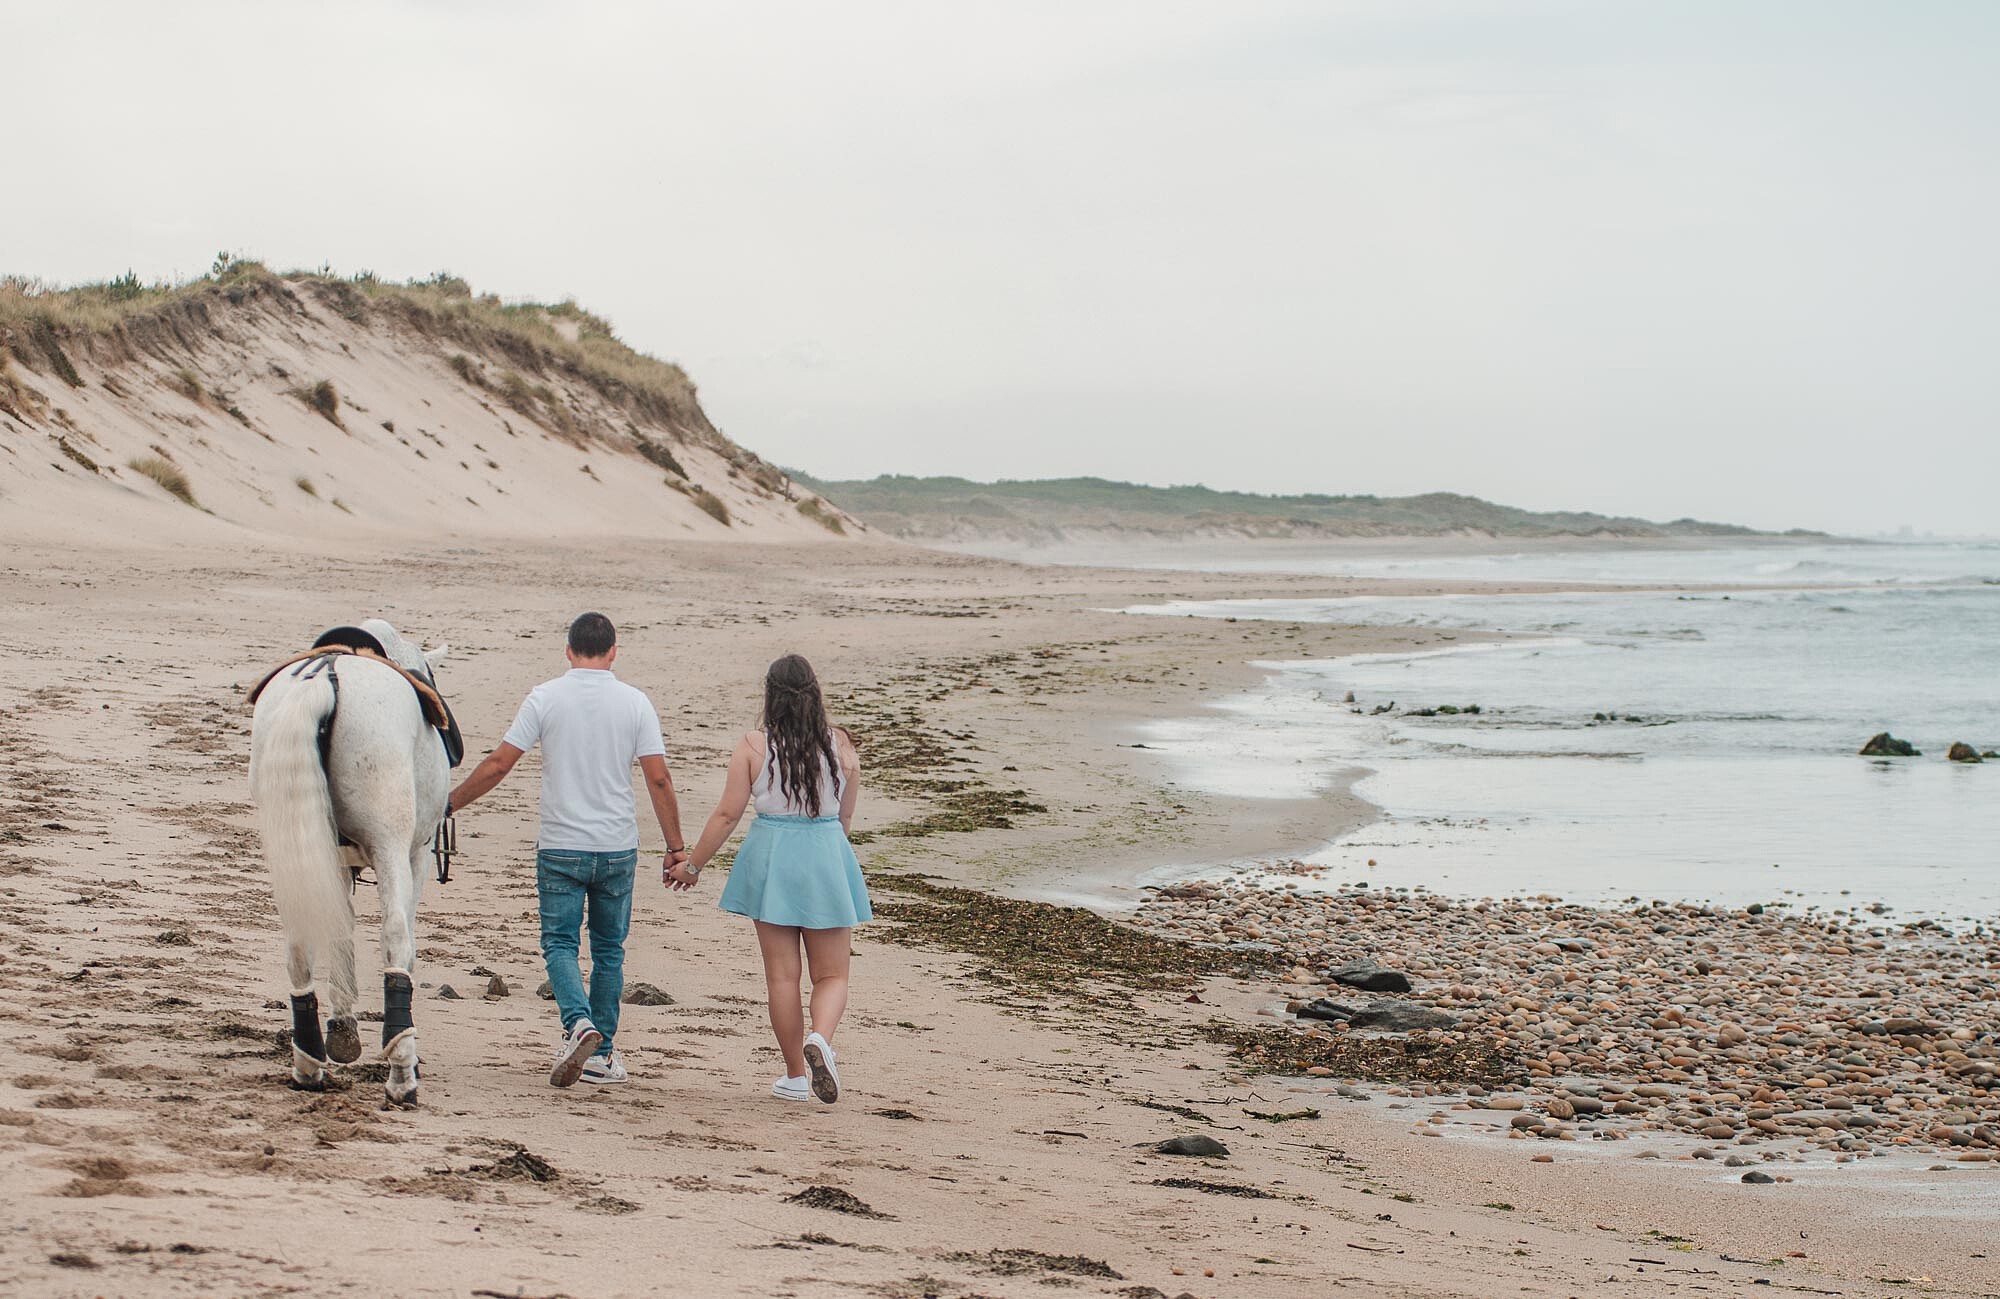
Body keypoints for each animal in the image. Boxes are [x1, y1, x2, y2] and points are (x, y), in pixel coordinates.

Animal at [248, 619, 451, 1105]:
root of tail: (324, 677)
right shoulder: (414, 856)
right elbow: (403, 941)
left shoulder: (331, 860)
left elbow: (340, 931)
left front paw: (342, 1031)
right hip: (392, 846)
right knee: (394, 934)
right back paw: (402, 1074)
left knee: (299, 943)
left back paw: (308, 1062)